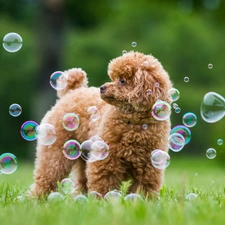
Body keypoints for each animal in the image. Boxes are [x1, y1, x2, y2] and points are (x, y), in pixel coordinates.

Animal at [29, 51, 173, 199]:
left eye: (122, 80)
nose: (102, 88)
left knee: (81, 181)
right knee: (47, 175)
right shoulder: (106, 159)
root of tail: (72, 92)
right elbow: (104, 182)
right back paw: (37, 198)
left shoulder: (149, 166)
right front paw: (104, 200)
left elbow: (142, 188)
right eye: (114, 78)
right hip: (57, 149)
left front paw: (137, 200)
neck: (134, 124)